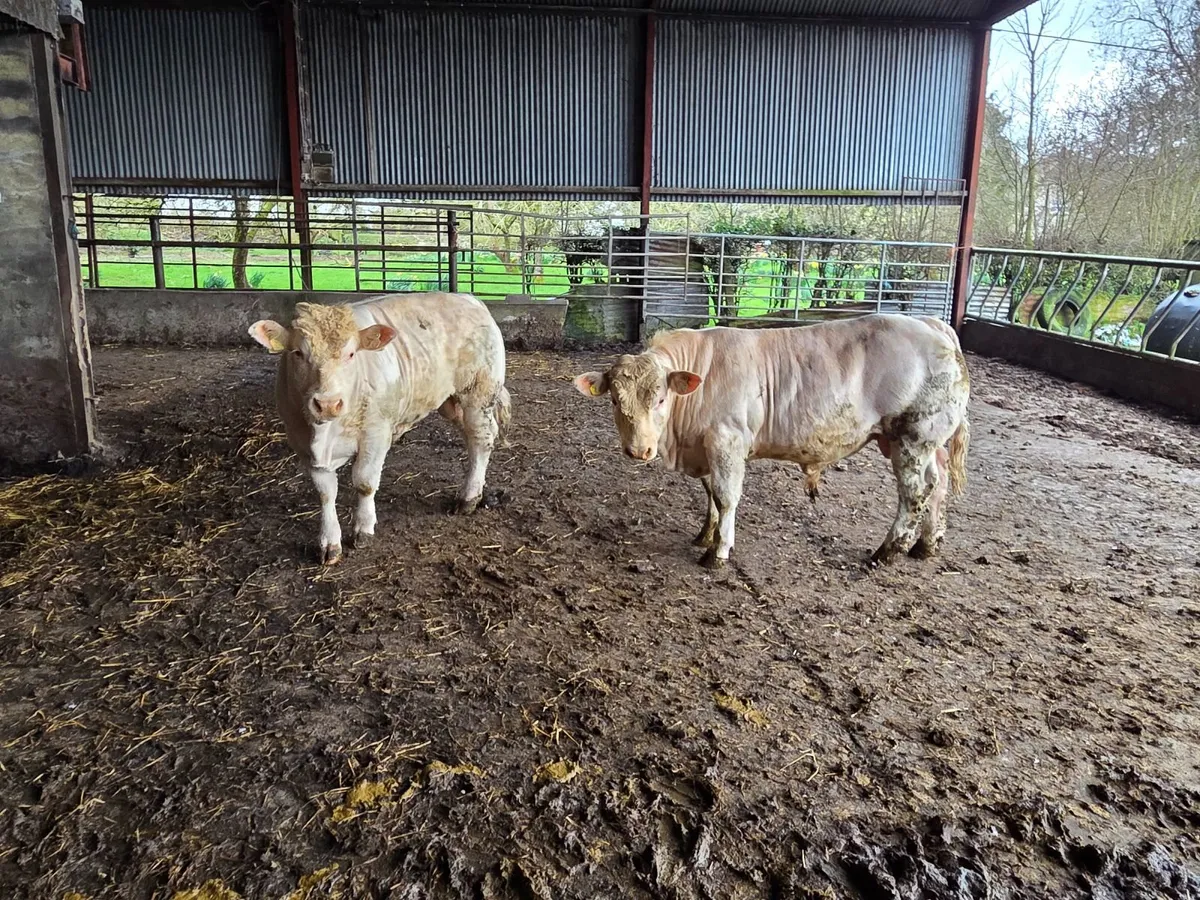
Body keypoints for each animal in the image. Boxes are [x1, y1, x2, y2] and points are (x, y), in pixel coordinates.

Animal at [250, 294, 510, 565]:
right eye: (298, 353)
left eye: (351, 354)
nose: (328, 404)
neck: (325, 436)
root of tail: (470, 299)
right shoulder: (300, 441)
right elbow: (325, 493)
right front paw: (329, 542)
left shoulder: (375, 433)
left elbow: (364, 482)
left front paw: (363, 528)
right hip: (451, 402)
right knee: (478, 436)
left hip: (479, 393)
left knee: (480, 439)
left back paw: (468, 497)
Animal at [574, 314, 969, 568]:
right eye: (615, 400)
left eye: (660, 399)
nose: (639, 450)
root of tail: (933, 324)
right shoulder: (707, 446)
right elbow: (711, 495)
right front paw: (706, 534)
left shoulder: (727, 441)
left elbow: (726, 496)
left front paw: (718, 552)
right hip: (926, 443)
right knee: (937, 484)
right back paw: (926, 545)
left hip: (912, 437)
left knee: (915, 493)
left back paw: (887, 551)